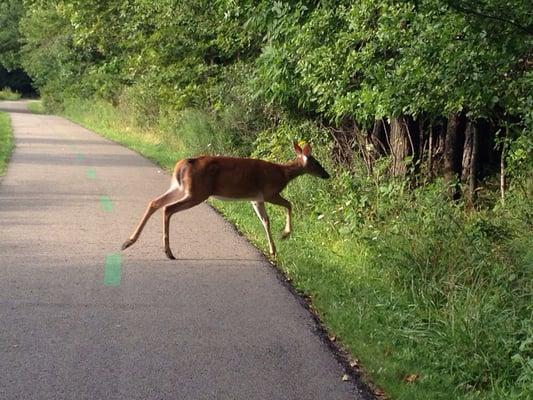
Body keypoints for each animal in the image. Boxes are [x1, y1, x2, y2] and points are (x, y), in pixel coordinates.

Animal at [121, 141, 328, 260]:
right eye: (317, 163)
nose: (327, 175)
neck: (284, 173)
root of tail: (182, 164)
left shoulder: (256, 199)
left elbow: (265, 221)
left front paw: (273, 250)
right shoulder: (270, 192)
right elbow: (289, 205)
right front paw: (284, 234)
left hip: (180, 187)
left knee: (155, 202)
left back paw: (128, 242)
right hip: (197, 192)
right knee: (168, 208)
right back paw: (168, 252)